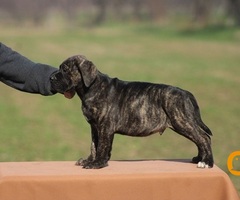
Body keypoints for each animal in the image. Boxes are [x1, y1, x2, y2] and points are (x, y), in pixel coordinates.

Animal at [50, 55, 214, 170]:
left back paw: (207, 162)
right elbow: (94, 145)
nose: (51, 78)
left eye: (65, 69)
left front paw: (97, 164)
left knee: (204, 138)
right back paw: (199, 158)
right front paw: (90, 160)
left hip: (181, 121)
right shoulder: (94, 127)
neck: (91, 86)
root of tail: (186, 93)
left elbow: (102, 146)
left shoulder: (105, 127)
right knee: (200, 139)